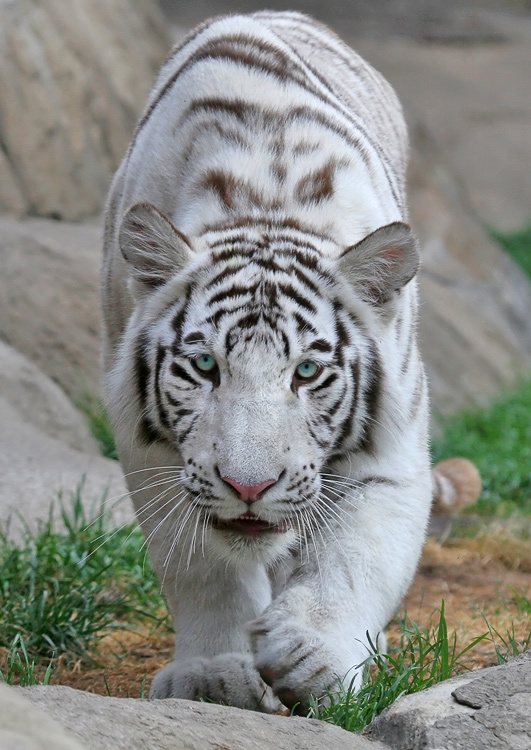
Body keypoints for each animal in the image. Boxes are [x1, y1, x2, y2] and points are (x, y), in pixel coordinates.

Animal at [101, 11, 480, 713]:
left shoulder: (391, 456)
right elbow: (201, 566)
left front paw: (316, 656)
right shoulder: (154, 457)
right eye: (204, 366)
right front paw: (215, 674)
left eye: (307, 372)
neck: (264, 203)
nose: (250, 487)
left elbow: (353, 560)